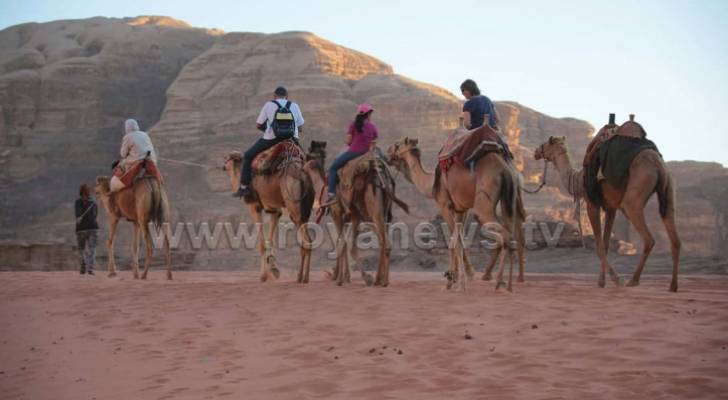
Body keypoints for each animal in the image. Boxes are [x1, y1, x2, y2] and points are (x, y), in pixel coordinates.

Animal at [220, 148, 314, 282]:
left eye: (228, 161)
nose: (223, 166)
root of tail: (303, 176)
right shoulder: (274, 209)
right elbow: (269, 240)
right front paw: (274, 269)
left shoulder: (254, 206)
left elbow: (261, 243)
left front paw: (263, 276)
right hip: (305, 211)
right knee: (307, 241)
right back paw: (303, 277)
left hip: (294, 206)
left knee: (306, 240)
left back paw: (302, 277)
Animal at [304, 141, 410, 288]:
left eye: (307, 156)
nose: (302, 168)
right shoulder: (351, 217)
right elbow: (346, 243)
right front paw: (343, 276)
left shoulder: (338, 212)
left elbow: (342, 243)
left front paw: (341, 278)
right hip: (381, 211)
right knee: (383, 242)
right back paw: (380, 279)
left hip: (373, 210)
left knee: (384, 242)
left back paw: (381, 281)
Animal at [384, 138, 528, 290]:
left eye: (397, 145)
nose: (387, 153)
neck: (431, 182)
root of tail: (505, 170)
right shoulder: (461, 209)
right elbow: (460, 238)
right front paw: (460, 276)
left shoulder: (444, 205)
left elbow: (453, 241)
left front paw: (455, 282)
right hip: (510, 199)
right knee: (515, 233)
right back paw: (512, 282)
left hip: (484, 204)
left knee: (504, 235)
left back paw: (499, 281)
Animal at [532, 137, 680, 290]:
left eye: (546, 143)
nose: (536, 152)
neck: (578, 180)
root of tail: (657, 164)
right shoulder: (611, 208)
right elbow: (606, 244)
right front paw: (602, 281)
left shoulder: (592, 204)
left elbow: (599, 246)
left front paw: (616, 279)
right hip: (668, 189)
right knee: (675, 239)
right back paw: (673, 286)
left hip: (633, 198)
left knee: (648, 238)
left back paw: (633, 280)